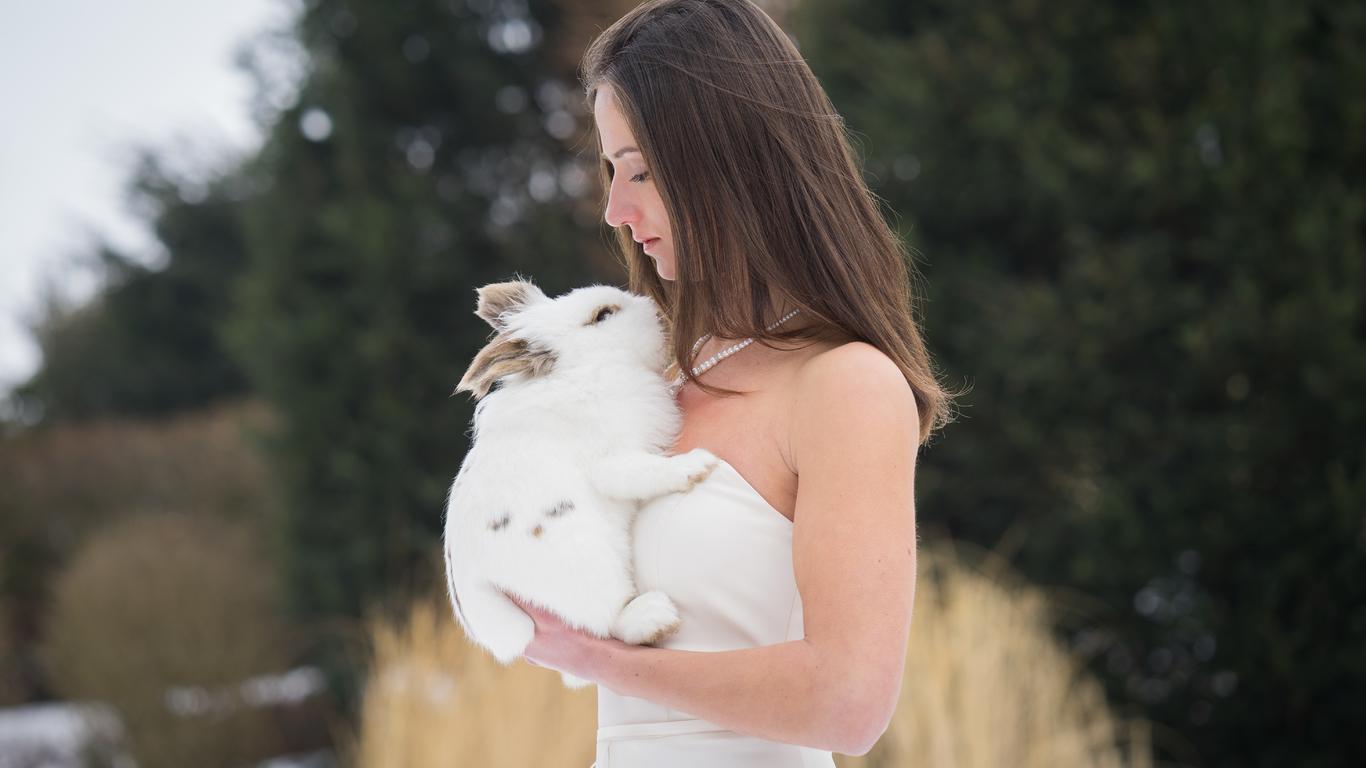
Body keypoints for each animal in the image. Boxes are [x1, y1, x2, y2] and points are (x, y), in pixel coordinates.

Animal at [442, 277, 721, 688]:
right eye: (602, 315)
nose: (658, 312)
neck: (590, 365)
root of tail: (497, 630)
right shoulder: (613, 460)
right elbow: (644, 470)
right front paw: (698, 465)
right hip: (591, 563)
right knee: (606, 623)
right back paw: (656, 616)